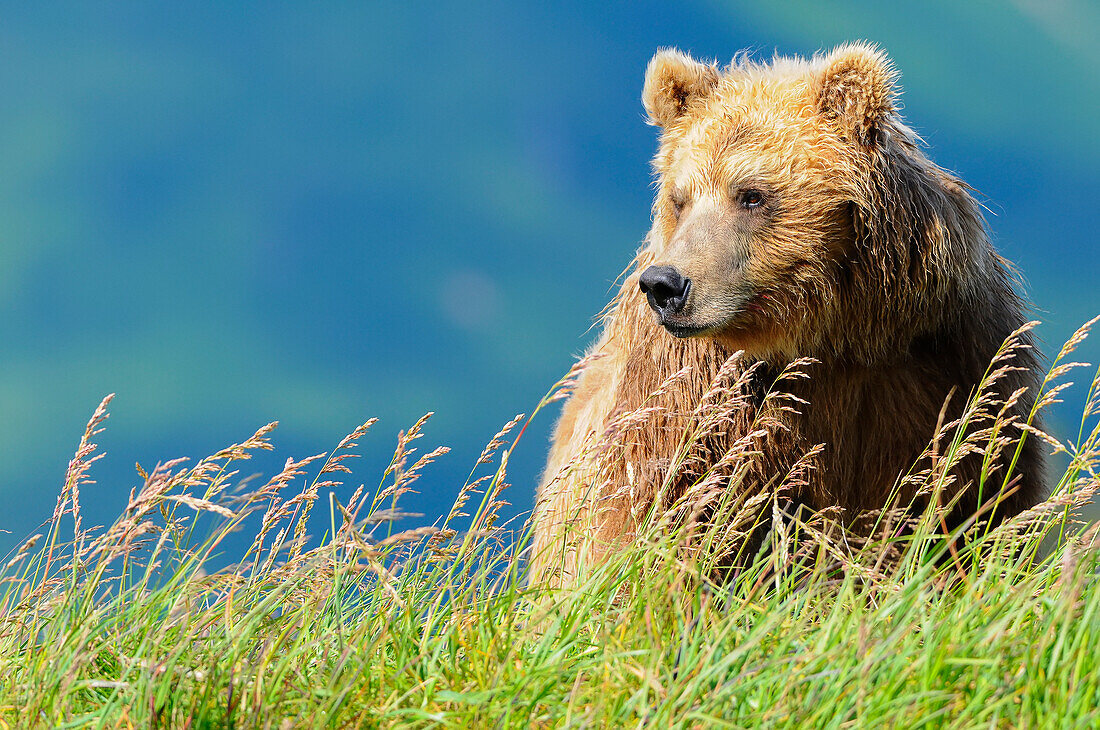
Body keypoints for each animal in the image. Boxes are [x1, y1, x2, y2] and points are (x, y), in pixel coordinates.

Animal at [532, 42, 1047, 589]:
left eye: (751, 194)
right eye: (680, 198)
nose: (665, 285)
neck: (831, 335)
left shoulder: (947, 368)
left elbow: (971, 505)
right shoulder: (694, 397)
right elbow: (655, 515)